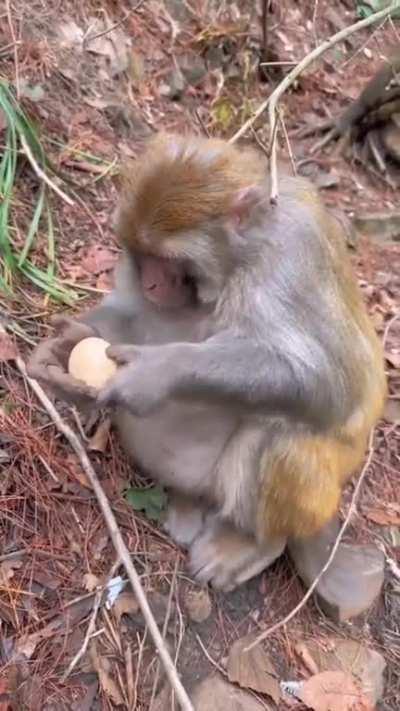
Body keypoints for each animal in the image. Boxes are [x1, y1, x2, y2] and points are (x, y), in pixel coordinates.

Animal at [28, 133, 387, 620]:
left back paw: (253, 543)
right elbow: (130, 311)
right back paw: (186, 503)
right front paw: (65, 351)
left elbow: (326, 385)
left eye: (169, 260)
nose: (153, 283)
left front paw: (157, 372)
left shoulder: (292, 254)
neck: (243, 253)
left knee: (283, 434)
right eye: (141, 256)